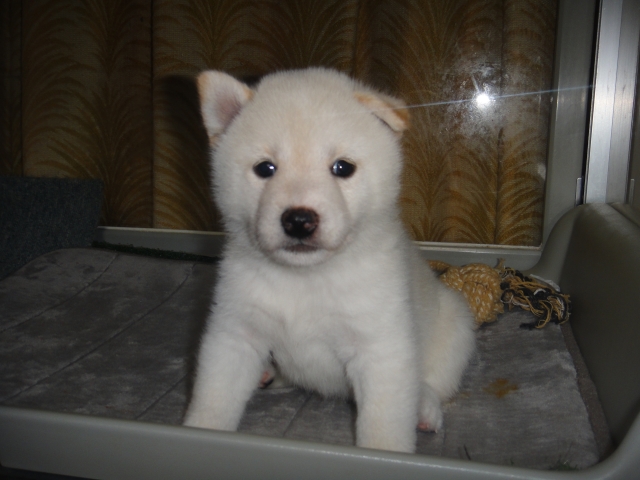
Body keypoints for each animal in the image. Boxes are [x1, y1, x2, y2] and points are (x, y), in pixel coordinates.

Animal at [183, 68, 475, 453]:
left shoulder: (381, 348)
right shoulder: (235, 333)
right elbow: (213, 399)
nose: (298, 220)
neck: (305, 279)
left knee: (433, 382)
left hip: (455, 325)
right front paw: (198, 433)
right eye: (265, 168)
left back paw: (424, 409)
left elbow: (384, 425)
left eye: (342, 167)